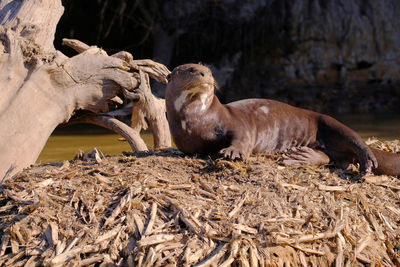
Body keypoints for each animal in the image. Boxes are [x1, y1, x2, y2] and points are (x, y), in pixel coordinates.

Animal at [165, 62, 400, 176]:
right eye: (191, 69)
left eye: (208, 70)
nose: (205, 74)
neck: (198, 120)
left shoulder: (237, 123)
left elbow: (242, 138)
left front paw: (232, 152)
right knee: (332, 158)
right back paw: (301, 155)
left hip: (329, 121)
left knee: (355, 140)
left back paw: (367, 161)